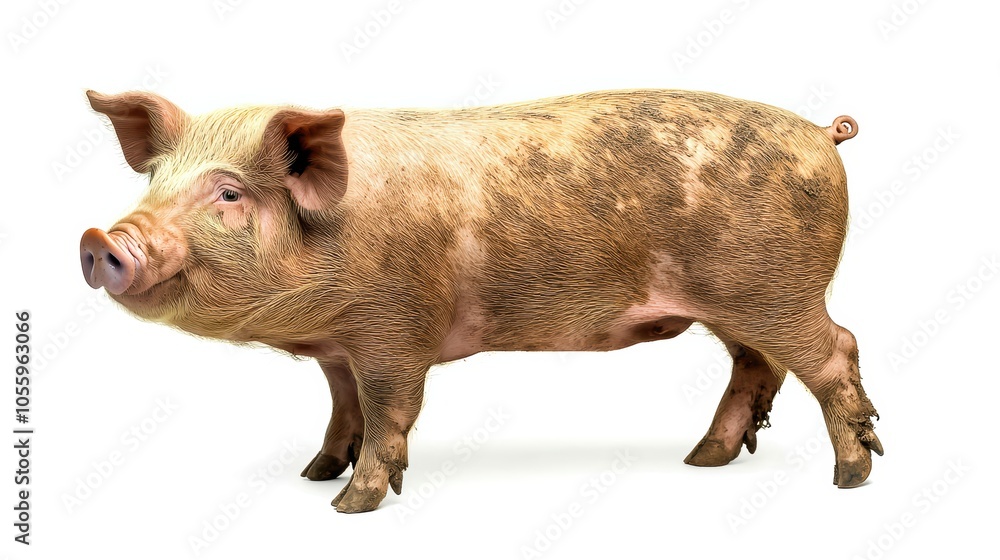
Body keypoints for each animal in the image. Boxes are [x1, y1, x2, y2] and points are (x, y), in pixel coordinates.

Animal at [80, 88, 881, 513]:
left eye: (228, 193)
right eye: (153, 182)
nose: (101, 239)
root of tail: (822, 133)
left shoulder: (394, 331)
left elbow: (388, 411)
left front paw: (350, 505)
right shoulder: (341, 346)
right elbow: (342, 406)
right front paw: (313, 473)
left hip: (779, 288)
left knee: (836, 350)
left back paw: (849, 478)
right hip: (740, 300)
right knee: (757, 366)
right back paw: (703, 461)